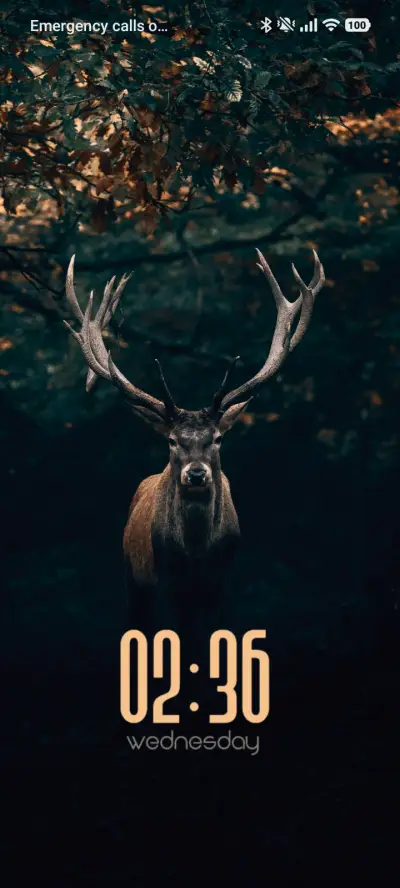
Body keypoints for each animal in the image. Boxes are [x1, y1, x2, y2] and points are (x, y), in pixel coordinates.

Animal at [64, 248, 324, 635]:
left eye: (217, 438)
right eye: (172, 440)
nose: (197, 474)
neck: (197, 554)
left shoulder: (218, 583)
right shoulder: (166, 580)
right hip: (133, 577)